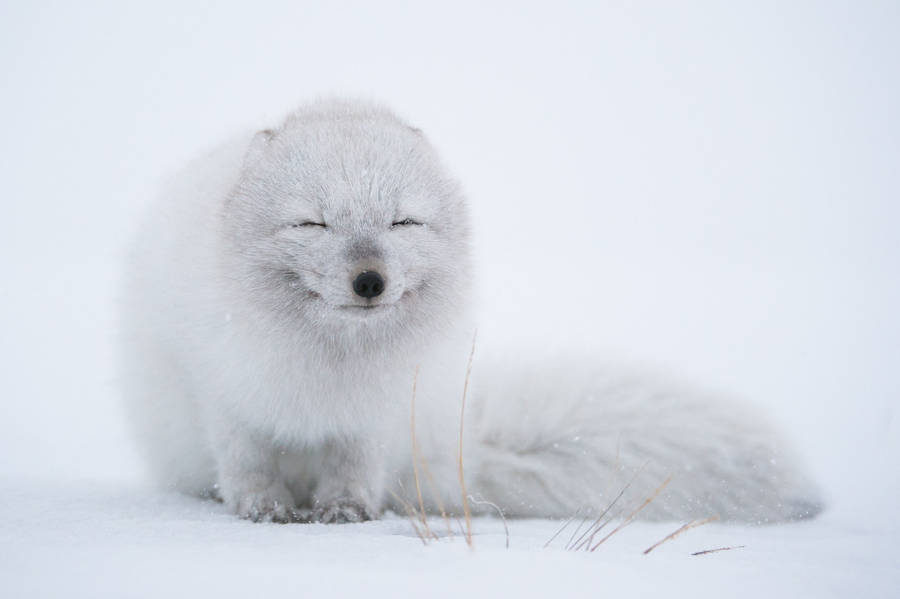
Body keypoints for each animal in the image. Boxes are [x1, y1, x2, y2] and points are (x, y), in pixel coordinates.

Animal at [120, 99, 822, 524]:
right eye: (311, 223)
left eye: (403, 222)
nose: (369, 280)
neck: (333, 366)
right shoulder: (226, 393)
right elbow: (247, 464)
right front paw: (263, 511)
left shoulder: (374, 415)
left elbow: (354, 470)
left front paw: (345, 513)